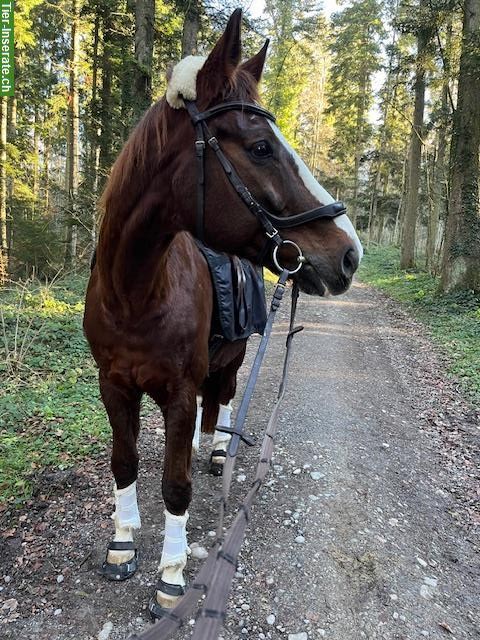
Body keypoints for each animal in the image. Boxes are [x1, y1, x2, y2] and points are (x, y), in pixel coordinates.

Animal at [83, 7, 360, 620]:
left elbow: (177, 487)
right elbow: (124, 462)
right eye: (260, 148)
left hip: (230, 359)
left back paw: (214, 451)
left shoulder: (181, 389)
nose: (349, 253)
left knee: (226, 395)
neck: (136, 293)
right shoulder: (113, 385)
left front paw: (171, 574)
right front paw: (122, 542)